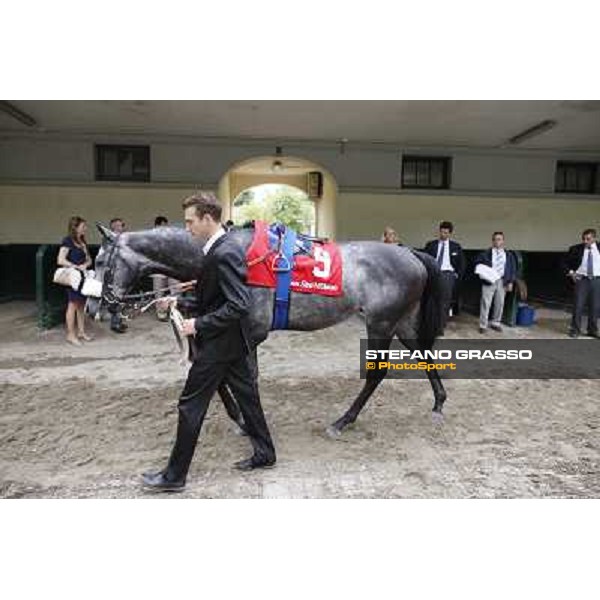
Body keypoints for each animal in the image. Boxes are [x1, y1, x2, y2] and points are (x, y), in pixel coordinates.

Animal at [88, 225, 446, 436]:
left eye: (102, 261)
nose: (95, 306)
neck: (226, 259)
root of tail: (411, 254)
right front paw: (241, 418)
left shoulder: (248, 330)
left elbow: (232, 374)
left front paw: (245, 420)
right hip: (402, 321)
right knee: (423, 354)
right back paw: (439, 401)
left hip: (381, 322)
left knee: (377, 373)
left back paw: (343, 421)